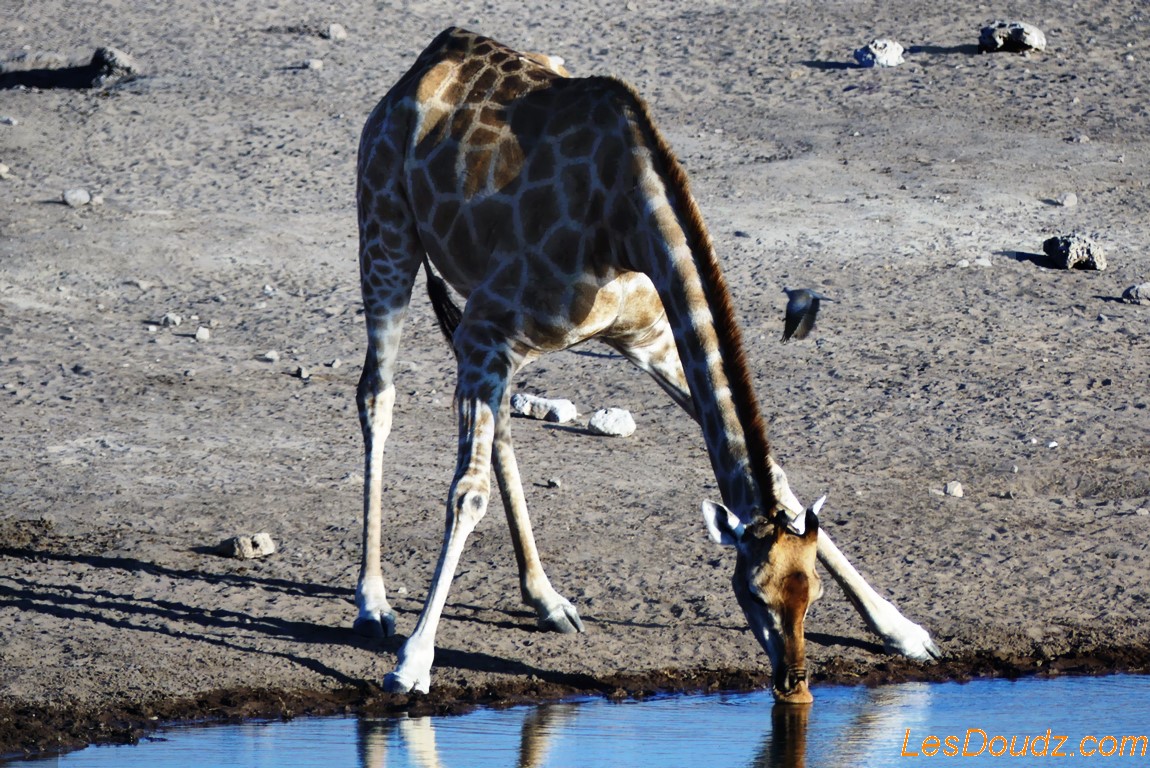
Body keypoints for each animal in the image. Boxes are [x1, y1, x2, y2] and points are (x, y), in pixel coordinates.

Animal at [354, 27, 939, 703]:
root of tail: (427, 58)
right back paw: (373, 604)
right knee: (377, 395)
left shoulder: (649, 340)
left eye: (811, 594)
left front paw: (903, 630)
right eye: (753, 595)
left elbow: (780, 479)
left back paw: (547, 600)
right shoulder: (489, 327)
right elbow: (465, 494)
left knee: (498, 428)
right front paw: (414, 661)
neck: (625, 218)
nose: (794, 684)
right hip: (386, 234)